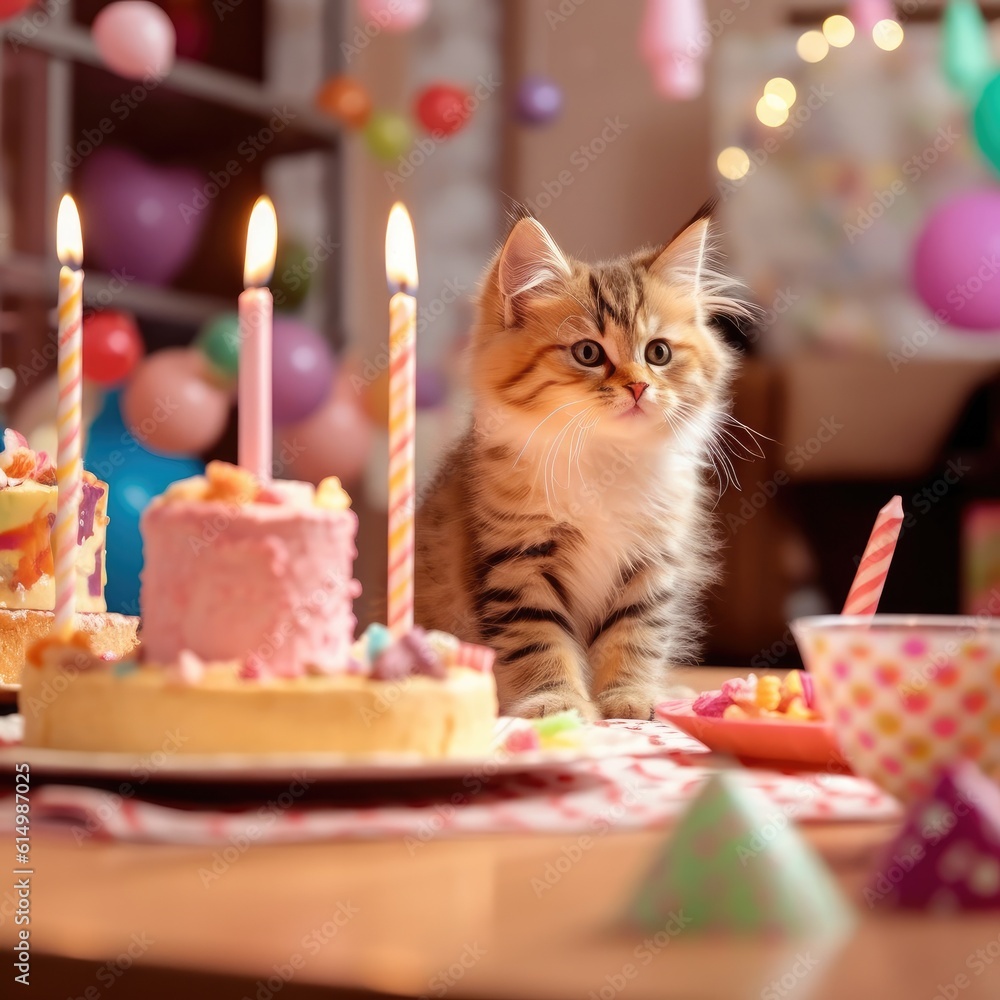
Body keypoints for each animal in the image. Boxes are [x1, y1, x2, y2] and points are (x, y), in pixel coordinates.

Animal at [414, 209, 752, 720]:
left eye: (658, 353)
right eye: (588, 353)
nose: (638, 387)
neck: (604, 456)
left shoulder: (651, 562)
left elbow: (634, 635)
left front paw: (629, 698)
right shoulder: (517, 562)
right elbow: (539, 640)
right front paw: (557, 703)